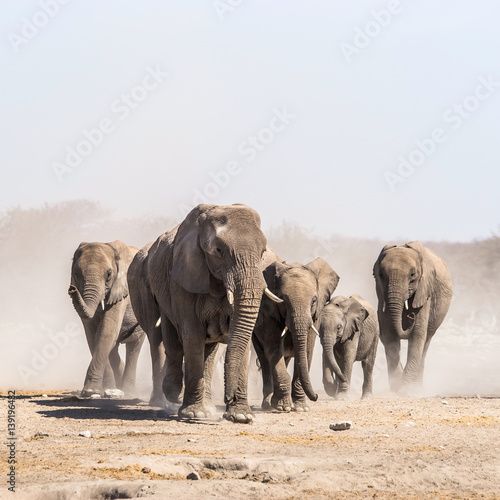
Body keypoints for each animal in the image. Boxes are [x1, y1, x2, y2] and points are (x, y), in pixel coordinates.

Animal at [67, 241, 145, 398]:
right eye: (76, 273)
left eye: (109, 274)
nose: (72, 289)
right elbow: (93, 336)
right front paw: (100, 390)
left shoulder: (121, 290)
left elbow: (105, 333)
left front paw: (90, 391)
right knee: (114, 348)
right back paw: (117, 387)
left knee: (134, 346)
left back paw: (128, 392)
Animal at [127, 203, 280, 422]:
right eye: (219, 251)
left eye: (262, 252)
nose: (228, 397)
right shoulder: (184, 276)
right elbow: (192, 335)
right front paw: (194, 413)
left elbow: (240, 336)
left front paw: (241, 416)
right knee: (166, 340)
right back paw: (171, 394)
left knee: (208, 349)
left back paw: (205, 407)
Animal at [254, 256, 340, 412]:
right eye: (282, 299)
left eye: (314, 301)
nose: (316, 397)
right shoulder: (269, 311)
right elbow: (274, 350)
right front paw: (283, 407)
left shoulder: (315, 316)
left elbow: (307, 351)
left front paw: (301, 408)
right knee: (264, 358)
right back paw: (268, 405)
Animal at [372, 242, 454, 394]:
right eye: (380, 275)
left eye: (412, 275)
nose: (411, 316)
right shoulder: (381, 295)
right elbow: (388, 333)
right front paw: (396, 387)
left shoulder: (424, 291)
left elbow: (417, 334)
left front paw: (408, 390)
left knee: (426, 340)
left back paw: (418, 389)